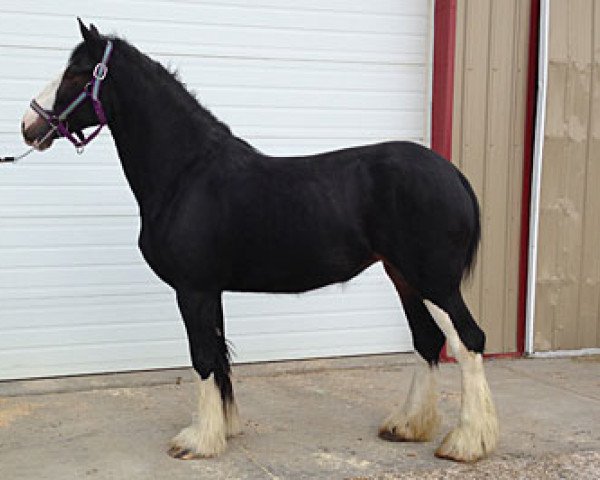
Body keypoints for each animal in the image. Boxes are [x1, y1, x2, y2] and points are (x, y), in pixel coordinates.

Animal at [21, 20, 500, 464]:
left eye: (78, 74)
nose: (29, 125)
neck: (187, 173)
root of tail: (452, 174)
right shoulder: (209, 289)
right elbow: (219, 355)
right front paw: (223, 428)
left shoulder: (193, 289)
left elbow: (203, 356)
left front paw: (197, 441)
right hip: (403, 275)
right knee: (426, 340)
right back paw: (407, 426)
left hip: (434, 280)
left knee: (468, 340)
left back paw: (466, 443)